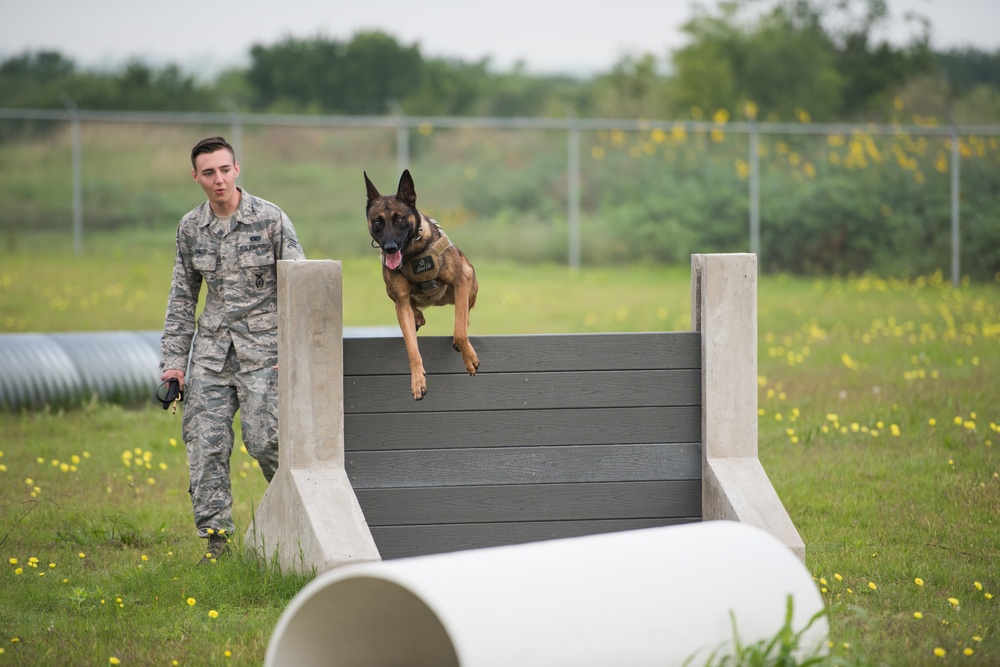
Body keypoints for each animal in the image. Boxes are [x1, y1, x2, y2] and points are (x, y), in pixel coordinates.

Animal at [364, 170, 480, 400]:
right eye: (377, 222)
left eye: (399, 219)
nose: (390, 248)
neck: (413, 252)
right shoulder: (400, 300)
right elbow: (411, 348)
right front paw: (418, 381)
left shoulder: (460, 280)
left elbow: (460, 330)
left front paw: (469, 357)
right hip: (390, 291)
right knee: (411, 307)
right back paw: (417, 316)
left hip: (469, 276)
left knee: (464, 313)